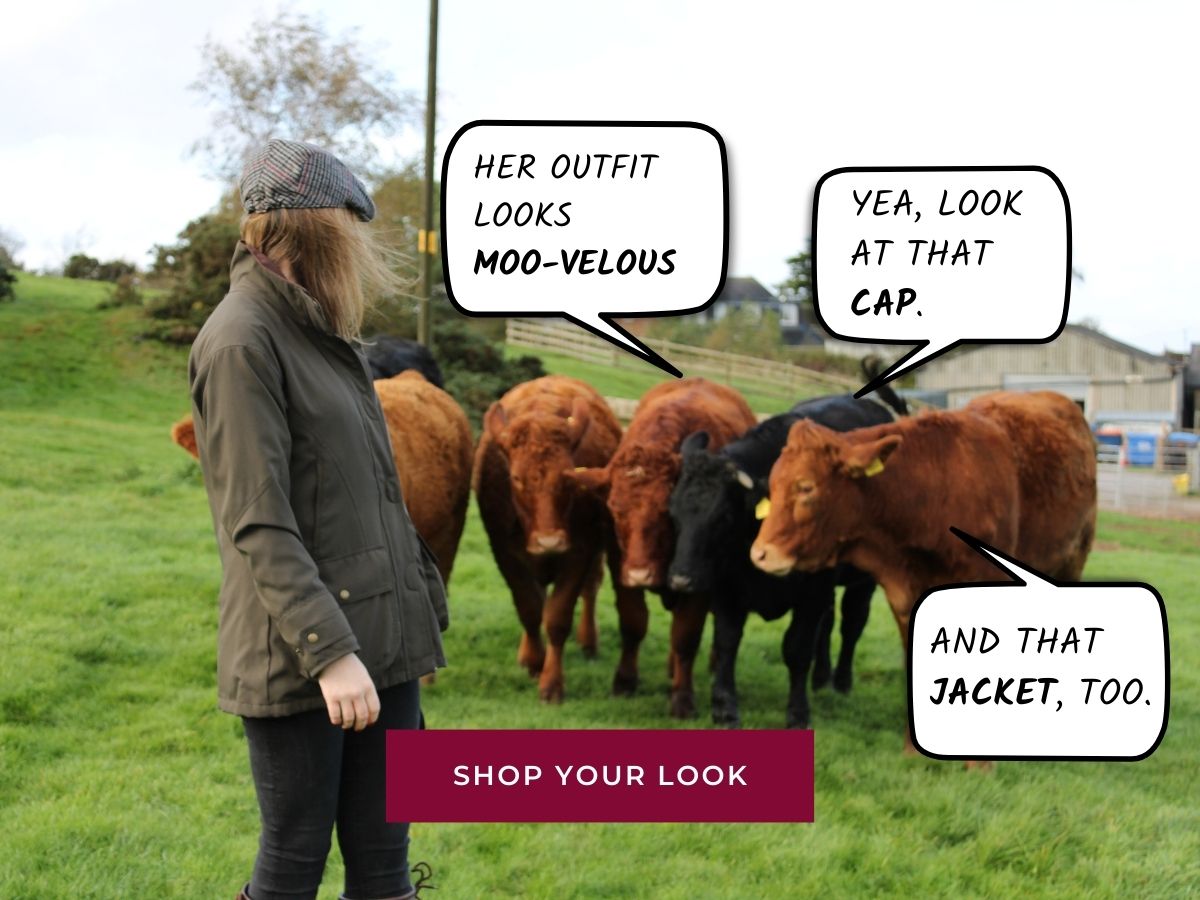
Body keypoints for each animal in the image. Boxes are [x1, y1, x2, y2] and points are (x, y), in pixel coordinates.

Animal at [472, 374, 628, 705]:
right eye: (516, 478)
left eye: (568, 477)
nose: (549, 542)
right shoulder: (506, 554)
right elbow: (530, 608)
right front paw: (533, 661)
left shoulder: (580, 552)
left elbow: (557, 618)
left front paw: (552, 684)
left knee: (591, 588)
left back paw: (589, 642)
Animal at [564, 376, 753, 724]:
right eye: (615, 508)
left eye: (665, 511)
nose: (641, 573)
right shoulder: (620, 566)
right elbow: (633, 623)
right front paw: (624, 681)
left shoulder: (697, 581)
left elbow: (686, 636)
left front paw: (683, 698)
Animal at [667, 384, 902, 729]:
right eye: (673, 511)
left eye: (722, 518)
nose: (681, 579)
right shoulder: (727, 587)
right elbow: (726, 642)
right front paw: (724, 707)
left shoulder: (812, 593)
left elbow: (797, 648)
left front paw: (798, 713)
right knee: (828, 623)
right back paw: (821, 679)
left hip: (862, 581)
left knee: (852, 623)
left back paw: (841, 681)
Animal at [748, 393, 1099, 753]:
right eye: (772, 486)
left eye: (805, 488)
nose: (760, 553)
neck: (934, 493)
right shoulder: (904, 596)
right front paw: (912, 749)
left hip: (1072, 563)